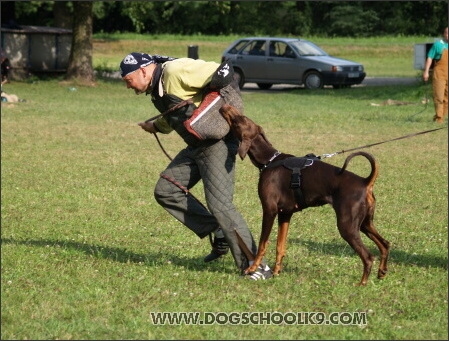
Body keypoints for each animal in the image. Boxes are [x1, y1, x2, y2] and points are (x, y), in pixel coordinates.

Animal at [220, 103, 388, 284]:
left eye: (238, 120)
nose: (225, 105)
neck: (269, 160)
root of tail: (365, 181)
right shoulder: (285, 214)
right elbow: (280, 246)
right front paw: (276, 272)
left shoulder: (269, 210)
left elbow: (263, 244)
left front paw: (252, 268)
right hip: (365, 223)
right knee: (385, 244)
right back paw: (381, 272)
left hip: (347, 225)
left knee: (368, 256)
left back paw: (361, 284)